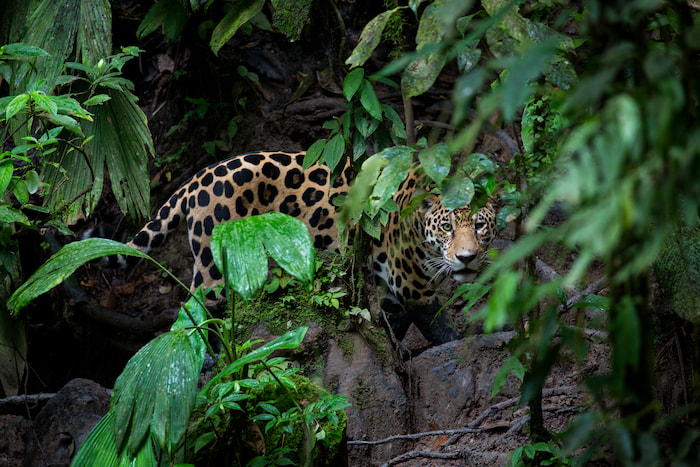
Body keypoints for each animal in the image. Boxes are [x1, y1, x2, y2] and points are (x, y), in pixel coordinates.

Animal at [114, 150, 499, 345]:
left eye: (480, 226)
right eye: (447, 227)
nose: (466, 258)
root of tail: (196, 180)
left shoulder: (396, 287)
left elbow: (395, 322)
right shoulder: (410, 282)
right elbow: (438, 326)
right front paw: (460, 341)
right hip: (216, 266)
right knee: (193, 309)